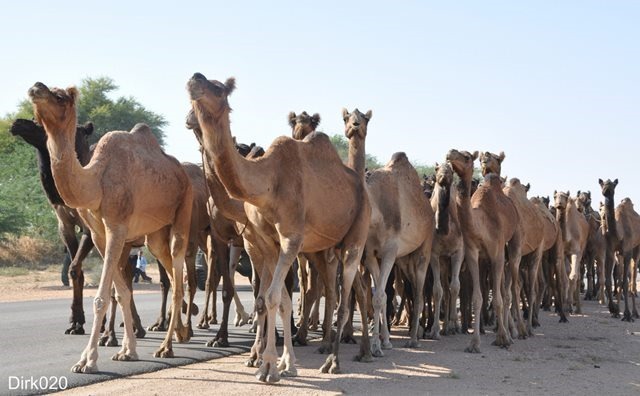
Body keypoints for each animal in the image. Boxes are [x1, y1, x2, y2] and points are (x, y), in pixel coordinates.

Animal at [28, 82, 192, 372]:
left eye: (59, 96)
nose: (36, 87)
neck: (95, 182)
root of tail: (182, 172)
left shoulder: (117, 228)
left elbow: (102, 297)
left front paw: (87, 360)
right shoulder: (99, 235)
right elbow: (122, 292)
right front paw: (127, 351)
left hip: (184, 211)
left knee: (179, 276)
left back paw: (167, 347)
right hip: (155, 236)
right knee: (173, 277)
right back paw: (179, 335)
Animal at [188, 72, 372, 382]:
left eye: (219, 88)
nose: (195, 79)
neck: (267, 182)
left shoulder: (291, 239)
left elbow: (274, 296)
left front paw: (270, 367)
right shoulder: (265, 243)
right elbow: (273, 299)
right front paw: (279, 363)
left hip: (356, 237)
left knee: (345, 298)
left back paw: (334, 360)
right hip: (329, 246)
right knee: (335, 291)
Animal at [340, 108, 436, 356]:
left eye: (365, 118)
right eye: (346, 117)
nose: (355, 126)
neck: (375, 213)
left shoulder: (390, 251)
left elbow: (382, 295)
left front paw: (376, 346)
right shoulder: (371, 254)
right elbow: (379, 296)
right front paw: (383, 342)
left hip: (424, 247)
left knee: (419, 292)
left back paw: (414, 339)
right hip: (405, 258)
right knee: (406, 290)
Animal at [444, 150, 520, 352]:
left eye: (467, 156)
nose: (450, 153)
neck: (481, 223)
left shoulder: (497, 253)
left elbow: (499, 299)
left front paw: (503, 338)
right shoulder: (473, 254)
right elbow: (478, 298)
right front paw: (474, 343)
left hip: (514, 245)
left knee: (512, 288)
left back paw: (519, 332)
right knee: (503, 290)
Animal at [596, 179, 636, 322]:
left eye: (613, 185)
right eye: (602, 184)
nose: (606, 190)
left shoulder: (628, 251)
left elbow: (625, 282)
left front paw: (627, 314)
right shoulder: (611, 251)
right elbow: (609, 281)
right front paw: (614, 309)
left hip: (636, 250)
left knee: (632, 277)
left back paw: (635, 313)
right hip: (619, 255)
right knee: (619, 276)